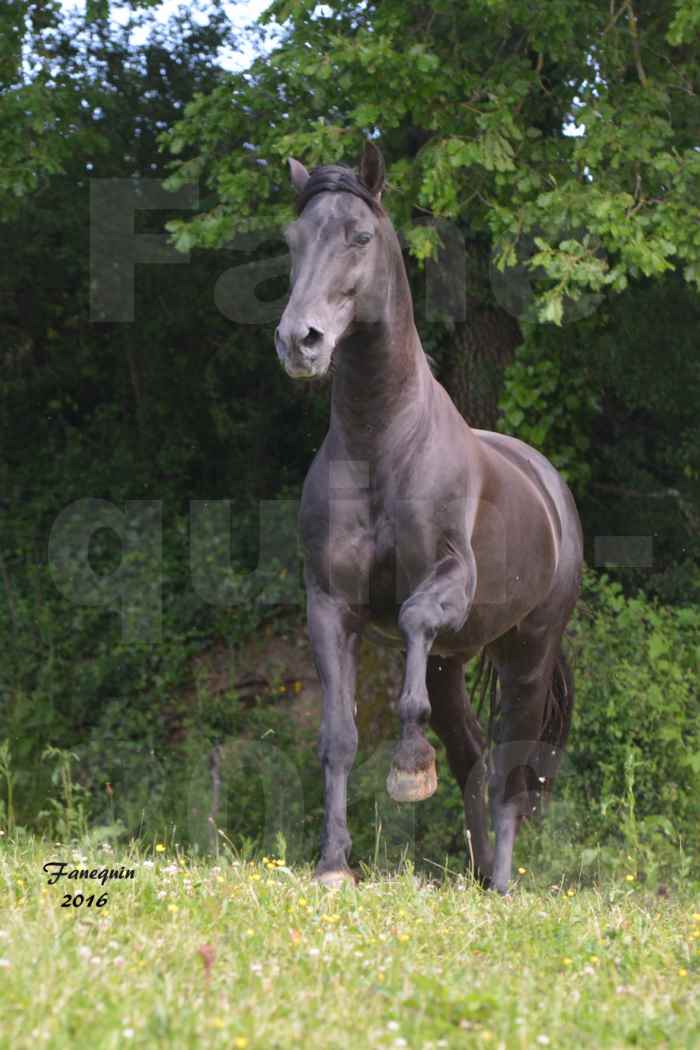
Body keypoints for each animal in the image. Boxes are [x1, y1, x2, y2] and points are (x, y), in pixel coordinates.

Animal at [277, 141, 583, 894]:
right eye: (293, 241)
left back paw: (500, 883)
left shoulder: (448, 582)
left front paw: (411, 771)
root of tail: (551, 490)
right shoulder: (329, 606)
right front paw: (333, 865)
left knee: (508, 767)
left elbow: (414, 623)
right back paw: (475, 874)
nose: (300, 341)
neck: (379, 443)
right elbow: (338, 737)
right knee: (474, 755)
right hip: (456, 661)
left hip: (528, 653)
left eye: (359, 236)